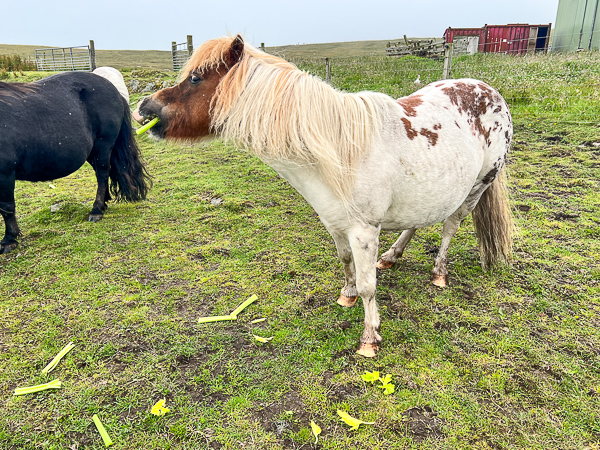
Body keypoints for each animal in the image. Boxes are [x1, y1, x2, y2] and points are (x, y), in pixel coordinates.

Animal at [134, 35, 512, 356]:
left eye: (196, 78)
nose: (143, 107)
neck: (339, 149)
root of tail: (492, 93)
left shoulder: (364, 231)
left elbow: (369, 286)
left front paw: (369, 337)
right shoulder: (333, 222)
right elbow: (346, 263)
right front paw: (346, 296)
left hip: (477, 188)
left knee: (449, 228)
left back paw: (439, 273)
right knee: (416, 222)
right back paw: (392, 256)